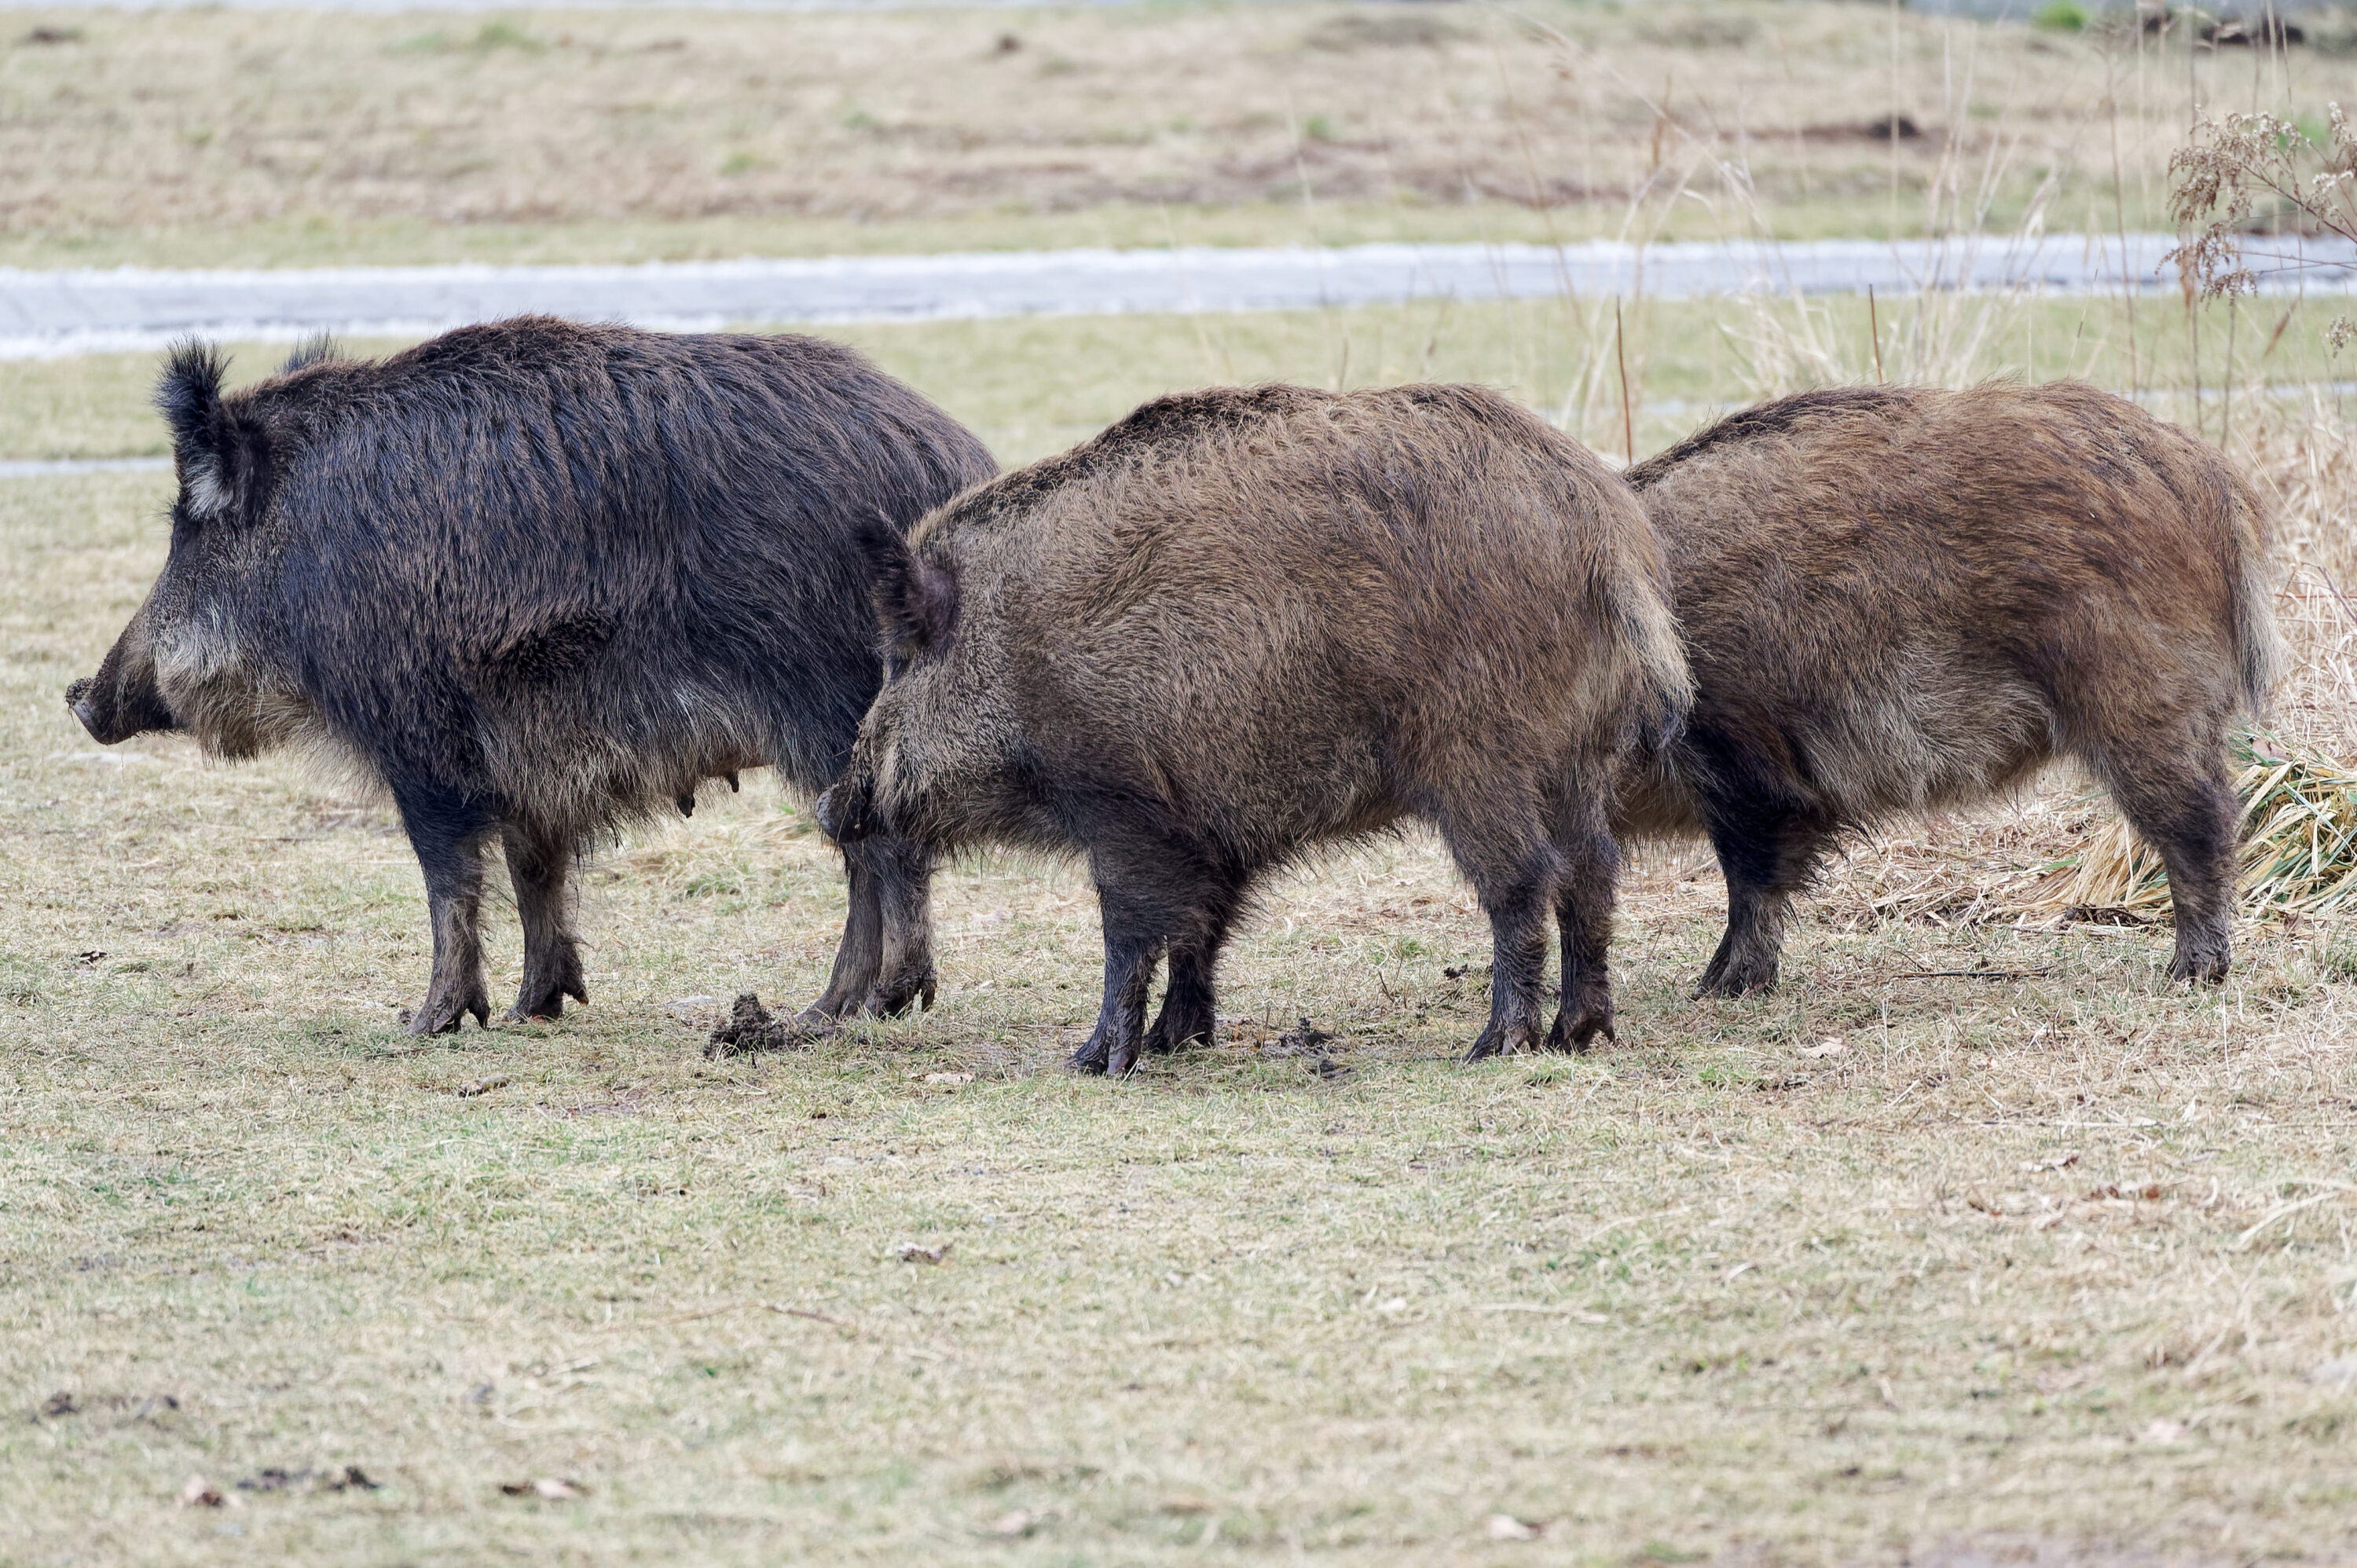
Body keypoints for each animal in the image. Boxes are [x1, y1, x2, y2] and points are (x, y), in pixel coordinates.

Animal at [67, 318, 995, 1033]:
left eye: (187, 533)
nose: (79, 696)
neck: (302, 556)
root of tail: (950, 463)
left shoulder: (418, 740)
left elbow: (447, 878)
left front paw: (423, 1023)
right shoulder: (526, 759)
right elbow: (532, 868)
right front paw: (528, 1011)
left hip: (831, 711)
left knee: (880, 850)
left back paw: (846, 1009)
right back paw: (828, 1010)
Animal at [817, 383, 1692, 1074]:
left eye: (898, 659)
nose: (830, 805)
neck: (1012, 649)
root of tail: (1608, 534)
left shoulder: (1121, 802)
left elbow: (1129, 932)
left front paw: (1094, 1061)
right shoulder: (1208, 824)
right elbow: (1200, 929)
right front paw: (1175, 1041)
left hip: (1477, 751)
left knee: (1525, 879)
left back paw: (1493, 1046)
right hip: (1577, 753)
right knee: (1593, 871)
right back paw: (1579, 1033)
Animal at [1614, 381, 2282, 995]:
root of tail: (2210, 476)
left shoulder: (1749, 762)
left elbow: (1752, 883)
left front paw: (1718, 989)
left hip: (2142, 702)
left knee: (2203, 821)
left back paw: (2190, 974)